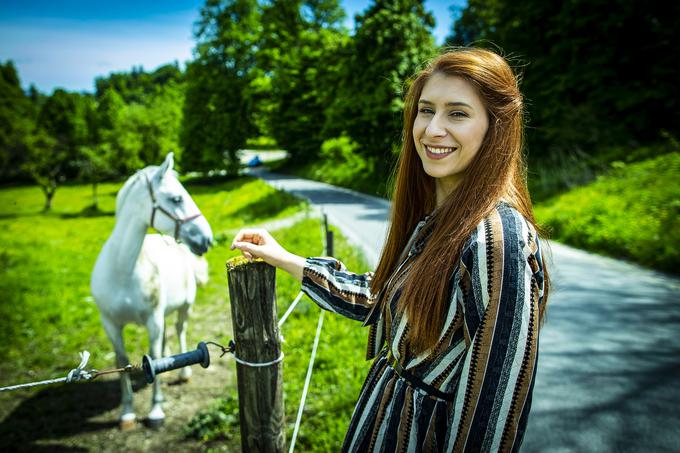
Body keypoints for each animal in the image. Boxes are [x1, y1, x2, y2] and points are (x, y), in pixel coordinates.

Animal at [90, 152, 212, 428]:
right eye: (177, 198)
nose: (207, 239)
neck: (122, 270)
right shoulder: (110, 323)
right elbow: (122, 360)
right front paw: (127, 412)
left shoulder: (153, 320)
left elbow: (154, 356)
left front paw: (156, 411)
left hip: (184, 308)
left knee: (179, 330)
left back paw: (184, 371)